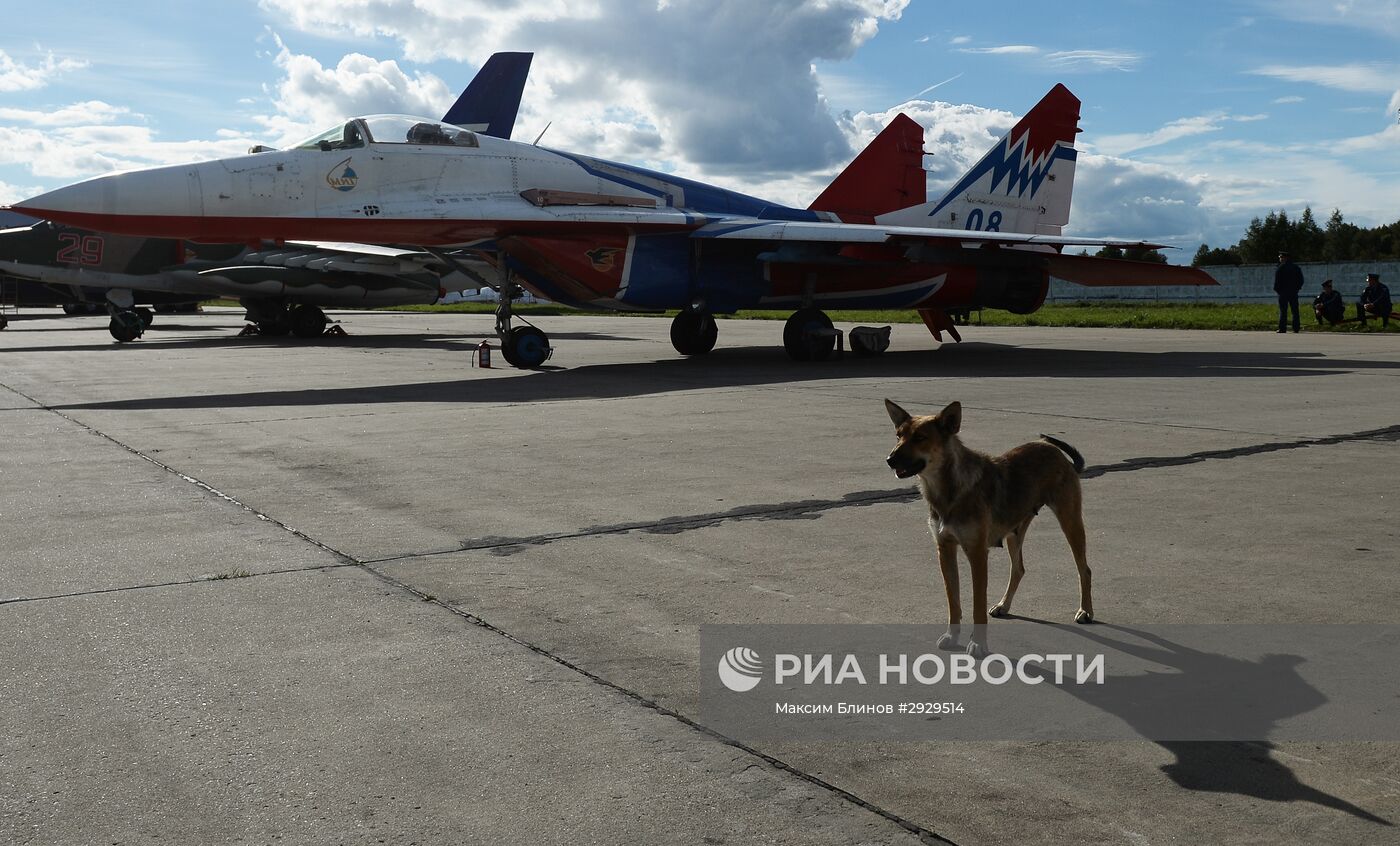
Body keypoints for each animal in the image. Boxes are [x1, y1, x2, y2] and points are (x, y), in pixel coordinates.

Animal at [884, 400, 1092, 658]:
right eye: (898, 435)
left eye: (920, 438)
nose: (889, 459)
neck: (949, 490)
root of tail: (1055, 452)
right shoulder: (945, 549)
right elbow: (953, 601)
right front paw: (952, 636)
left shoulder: (977, 554)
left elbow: (977, 605)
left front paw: (978, 644)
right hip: (1015, 533)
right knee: (1018, 569)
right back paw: (1004, 605)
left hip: (1070, 521)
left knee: (1084, 569)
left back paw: (1085, 611)